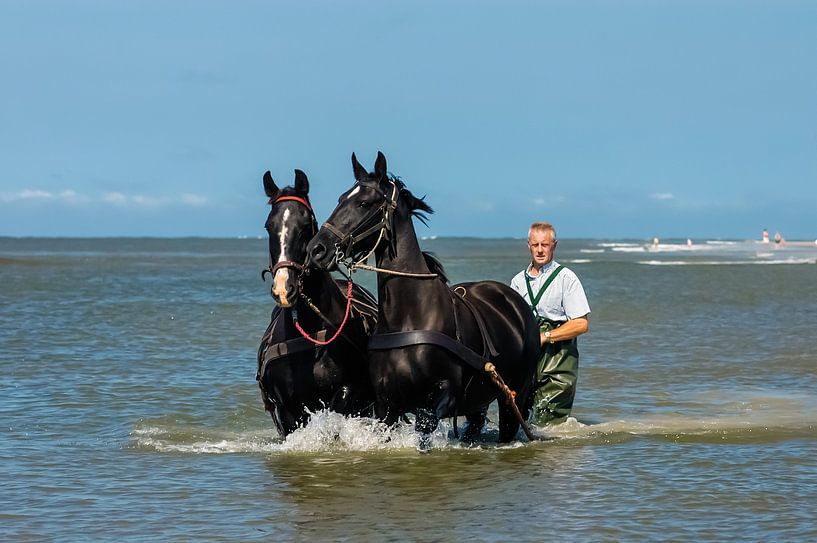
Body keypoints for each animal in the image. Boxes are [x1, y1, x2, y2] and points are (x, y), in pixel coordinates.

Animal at [306, 152, 540, 446]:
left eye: (364, 203)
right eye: (340, 199)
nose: (317, 249)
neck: (409, 316)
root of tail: (516, 303)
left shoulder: (441, 396)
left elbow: (424, 428)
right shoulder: (386, 405)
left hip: (514, 395)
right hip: (478, 400)